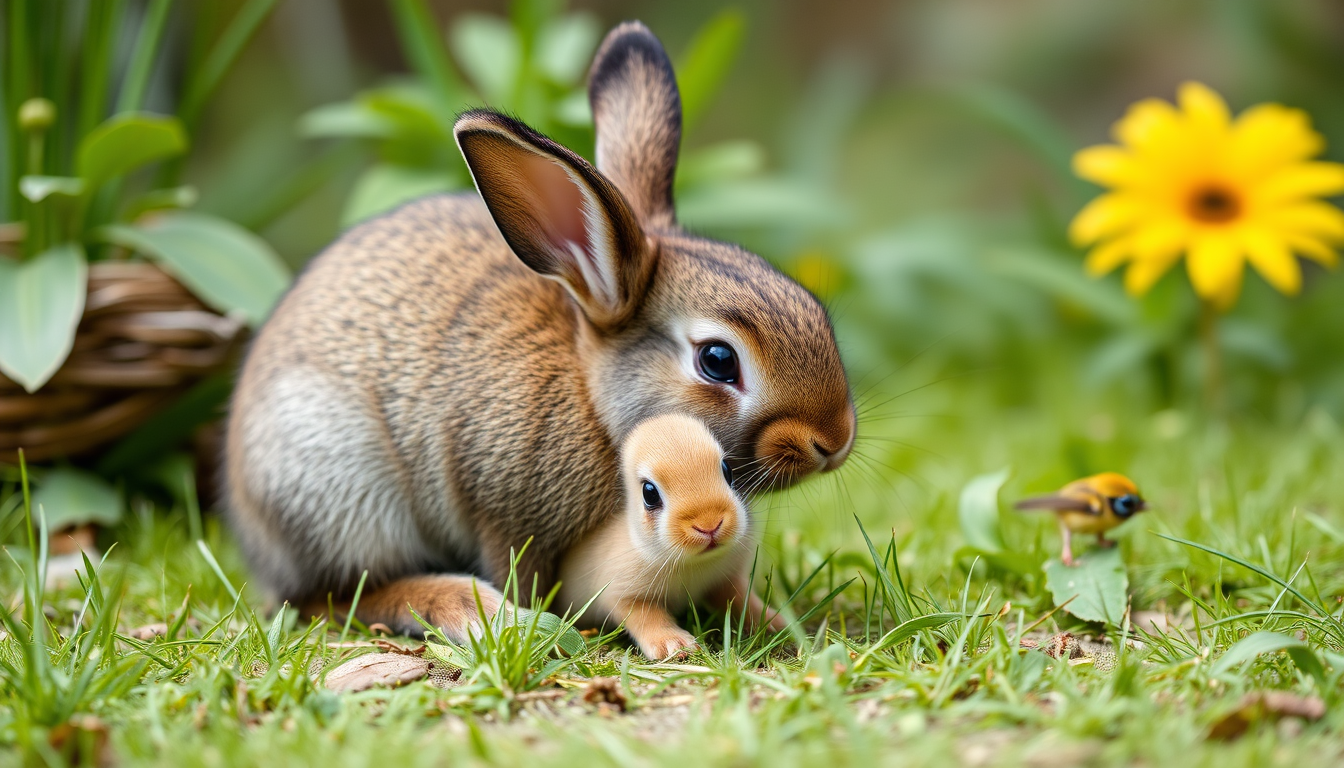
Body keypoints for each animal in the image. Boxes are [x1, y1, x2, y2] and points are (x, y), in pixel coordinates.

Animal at [555, 412, 784, 660]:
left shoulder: (727, 582)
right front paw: (675, 646)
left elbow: (741, 600)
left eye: (727, 470)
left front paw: (774, 623)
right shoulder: (623, 595)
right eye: (649, 493)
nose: (709, 525)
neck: (692, 561)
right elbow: (646, 616)